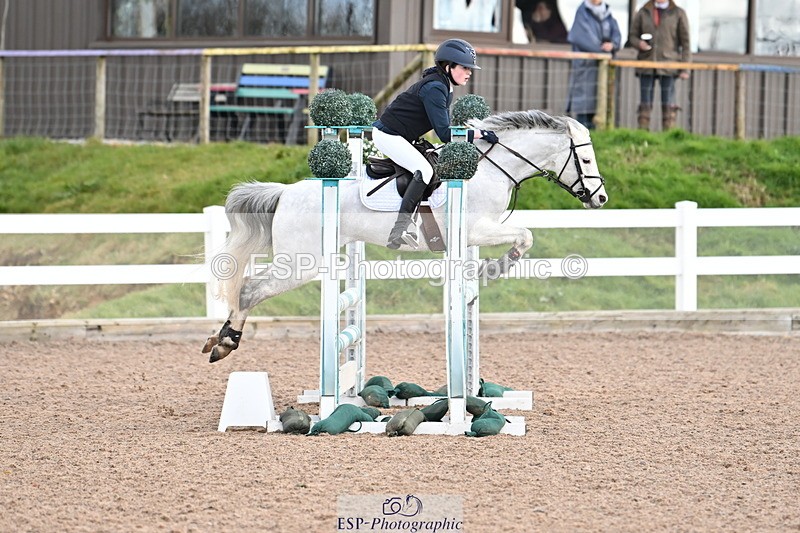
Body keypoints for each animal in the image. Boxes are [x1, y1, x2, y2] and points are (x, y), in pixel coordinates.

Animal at [202, 110, 608, 362]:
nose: (600, 198)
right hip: (302, 264)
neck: (491, 168)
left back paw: (217, 339)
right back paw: (226, 342)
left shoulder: (475, 235)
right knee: (250, 290)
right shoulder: (478, 229)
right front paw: (494, 270)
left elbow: (524, 235)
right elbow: (525, 235)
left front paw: (487, 271)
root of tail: (285, 192)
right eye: (586, 161)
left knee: (248, 289)